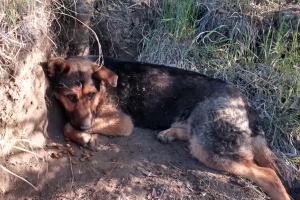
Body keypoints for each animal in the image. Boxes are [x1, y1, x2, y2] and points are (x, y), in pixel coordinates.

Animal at [46, 55, 298, 200]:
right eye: (70, 96)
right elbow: (68, 124)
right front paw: (83, 135)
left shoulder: (122, 122)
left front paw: (84, 136)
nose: (85, 125)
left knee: (268, 174)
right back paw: (169, 133)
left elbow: (67, 125)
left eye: (91, 95)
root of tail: (246, 103)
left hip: (211, 146)